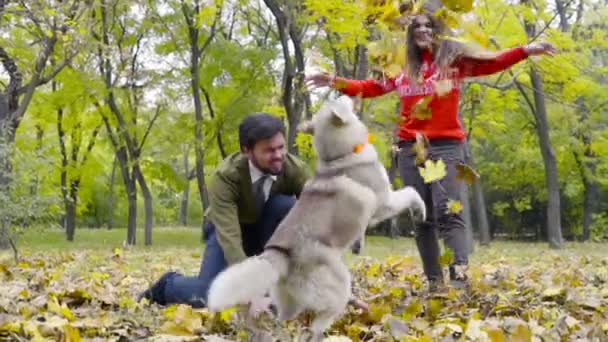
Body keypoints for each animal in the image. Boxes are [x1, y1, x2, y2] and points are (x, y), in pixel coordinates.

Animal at [204, 95, 422, 340]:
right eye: (339, 99)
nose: (348, 93)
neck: (340, 157)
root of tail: (280, 254)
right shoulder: (384, 203)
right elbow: (412, 192)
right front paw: (420, 210)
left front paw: (359, 244)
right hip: (339, 286)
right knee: (316, 325)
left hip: (289, 304)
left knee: (286, 323)